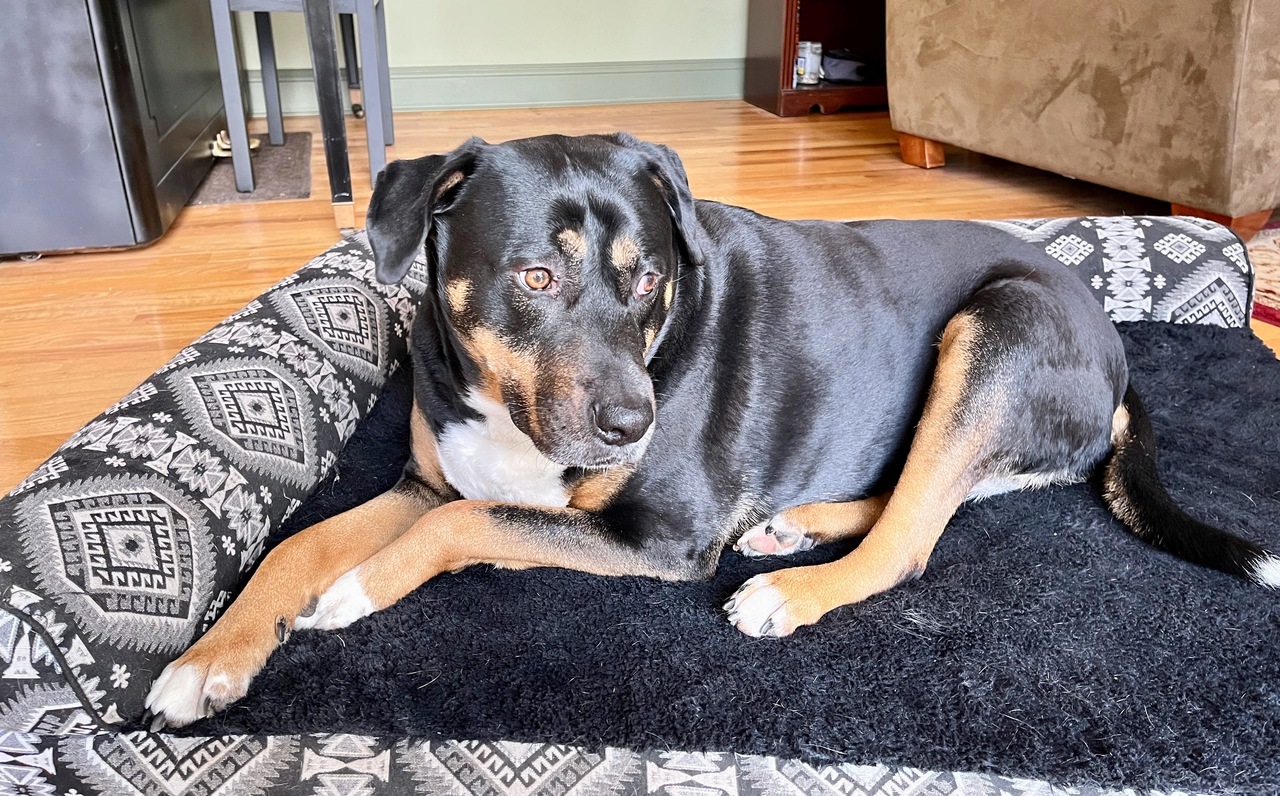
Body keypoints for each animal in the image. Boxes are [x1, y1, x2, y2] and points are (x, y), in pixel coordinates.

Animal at [145, 132, 1274, 732]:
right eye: (535, 277)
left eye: (647, 277)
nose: (633, 421)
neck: (511, 407)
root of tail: (1114, 350)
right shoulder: (425, 479)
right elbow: (302, 543)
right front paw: (213, 657)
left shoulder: (662, 536)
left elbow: (462, 528)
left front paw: (357, 591)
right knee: (907, 495)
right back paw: (794, 523)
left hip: (994, 328)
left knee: (912, 536)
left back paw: (787, 587)